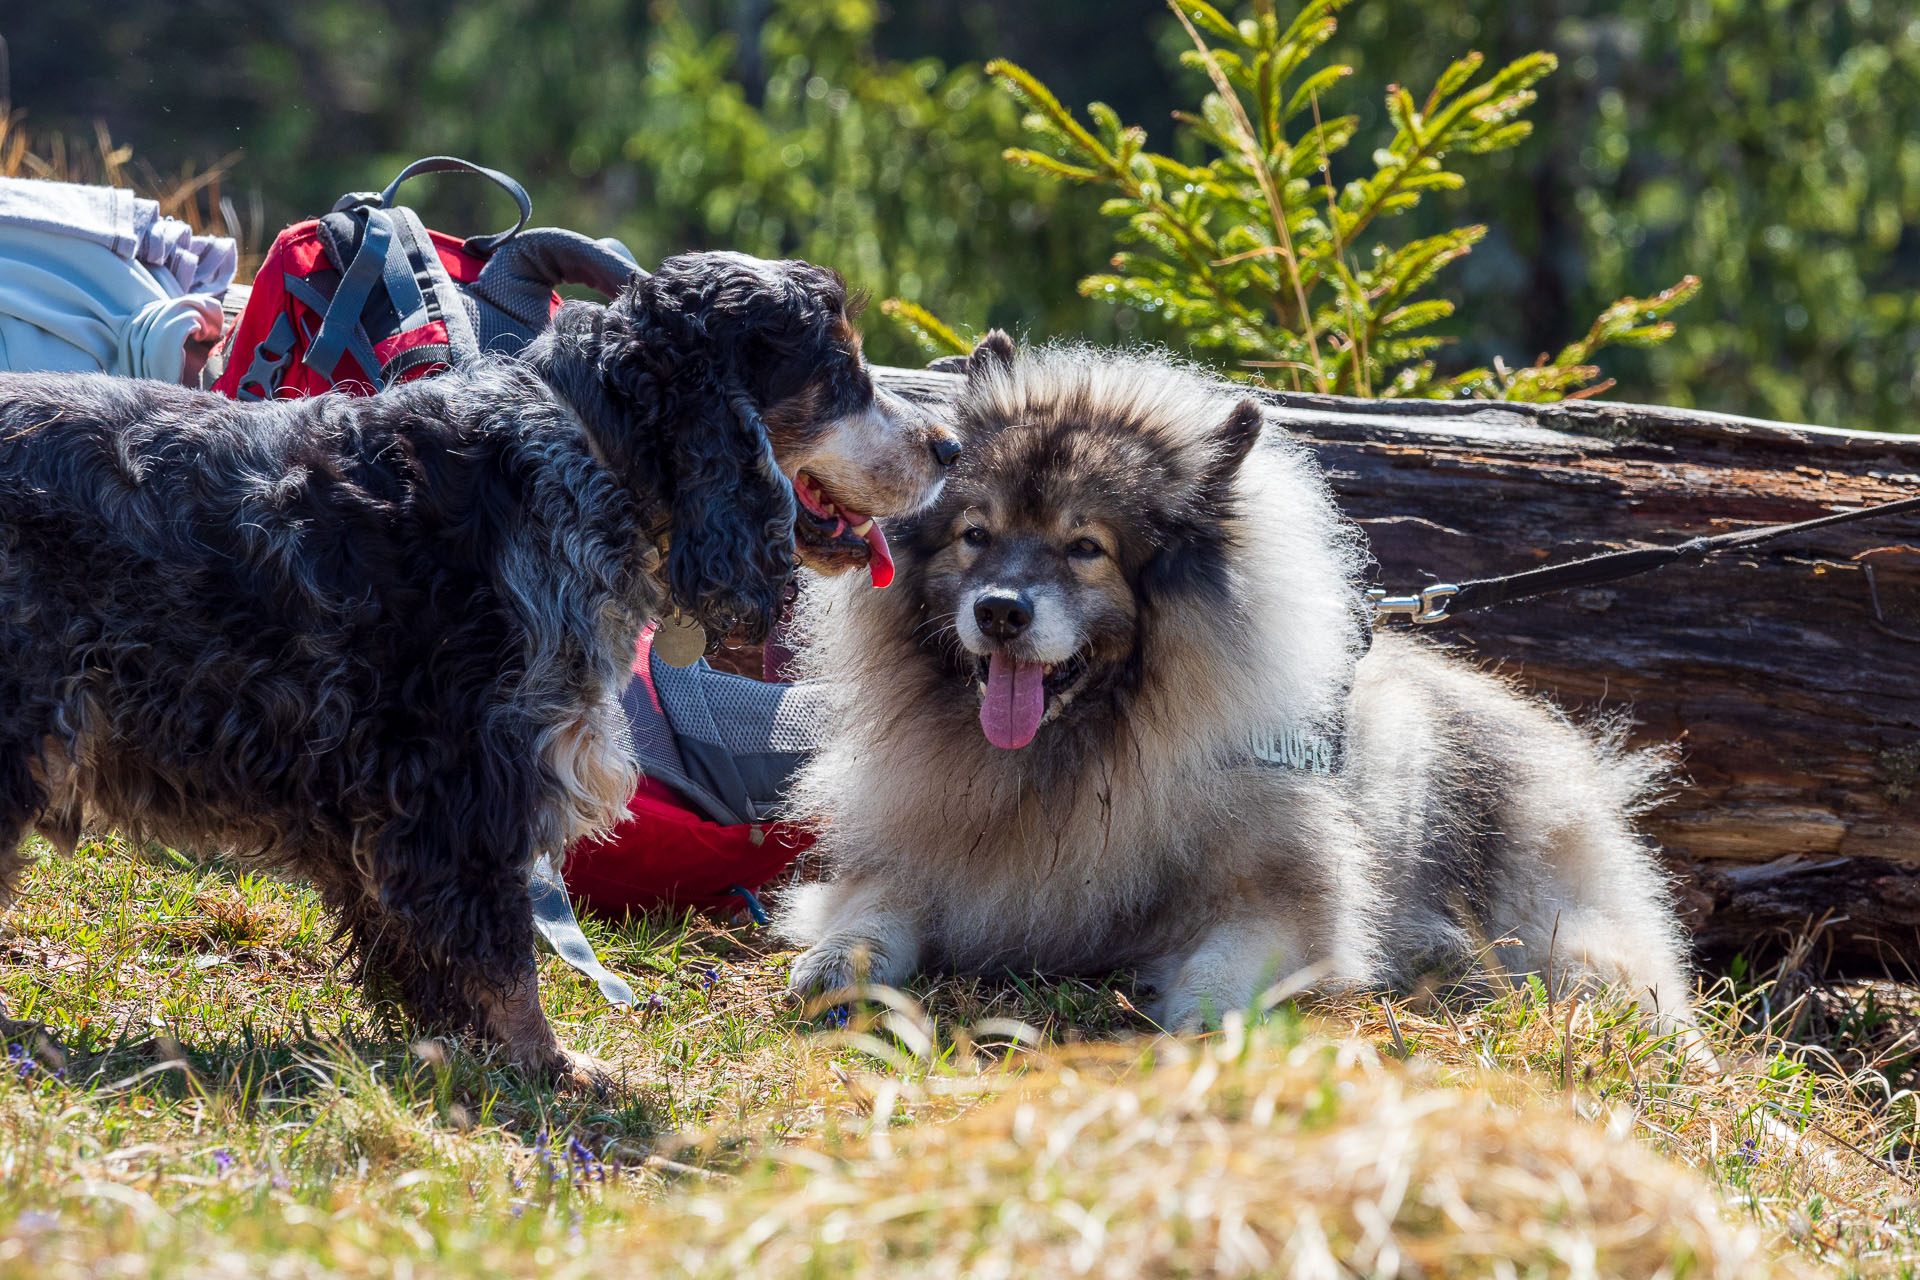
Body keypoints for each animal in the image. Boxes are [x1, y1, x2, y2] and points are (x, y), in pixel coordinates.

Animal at [771, 335, 1689, 1036]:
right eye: (975, 535)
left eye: (1085, 548)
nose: (999, 611)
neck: (1075, 757)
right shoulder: (918, 856)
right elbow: (872, 908)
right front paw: (833, 963)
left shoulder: (1282, 904)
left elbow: (1225, 967)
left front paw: (1201, 1024)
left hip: (1559, 924)